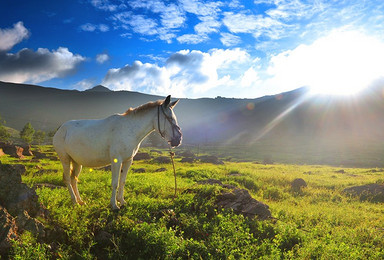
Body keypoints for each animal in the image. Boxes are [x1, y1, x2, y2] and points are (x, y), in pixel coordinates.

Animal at [53, 95, 183, 209]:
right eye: (169, 118)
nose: (178, 139)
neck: (128, 129)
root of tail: (61, 129)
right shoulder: (116, 160)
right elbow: (115, 182)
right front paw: (114, 205)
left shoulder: (128, 160)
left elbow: (122, 181)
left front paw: (122, 201)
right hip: (65, 159)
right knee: (68, 179)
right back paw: (74, 201)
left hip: (76, 162)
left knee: (74, 179)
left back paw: (80, 201)